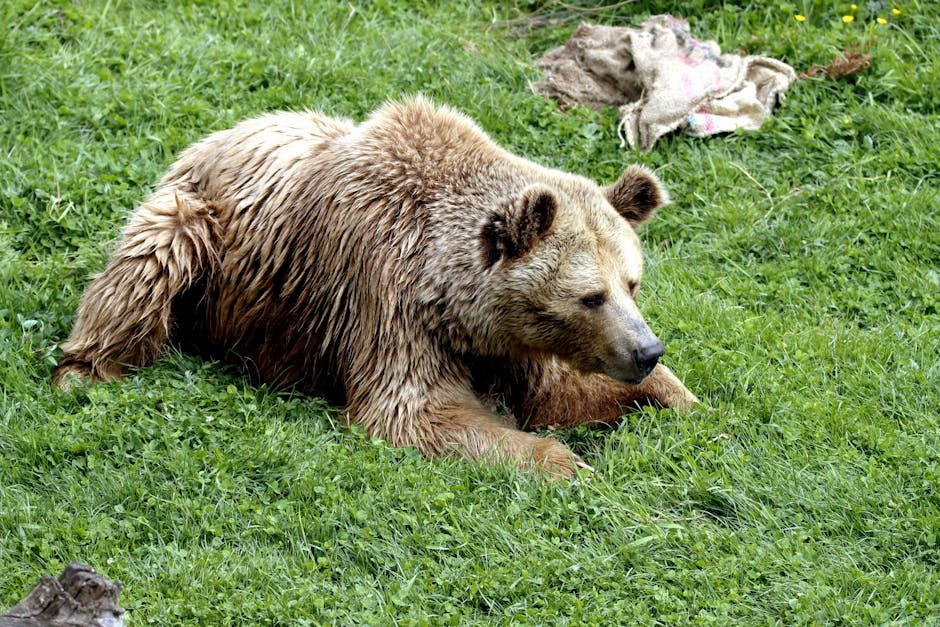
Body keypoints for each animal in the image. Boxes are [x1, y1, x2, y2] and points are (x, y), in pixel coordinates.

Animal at [53, 97, 698, 478]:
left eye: (632, 283)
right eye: (591, 296)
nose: (646, 349)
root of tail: (220, 132)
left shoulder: (512, 344)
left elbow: (562, 392)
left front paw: (684, 399)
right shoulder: (387, 303)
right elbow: (414, 412)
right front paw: (567, 464)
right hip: (194, 225)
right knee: (146, 267)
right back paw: (86, 369)